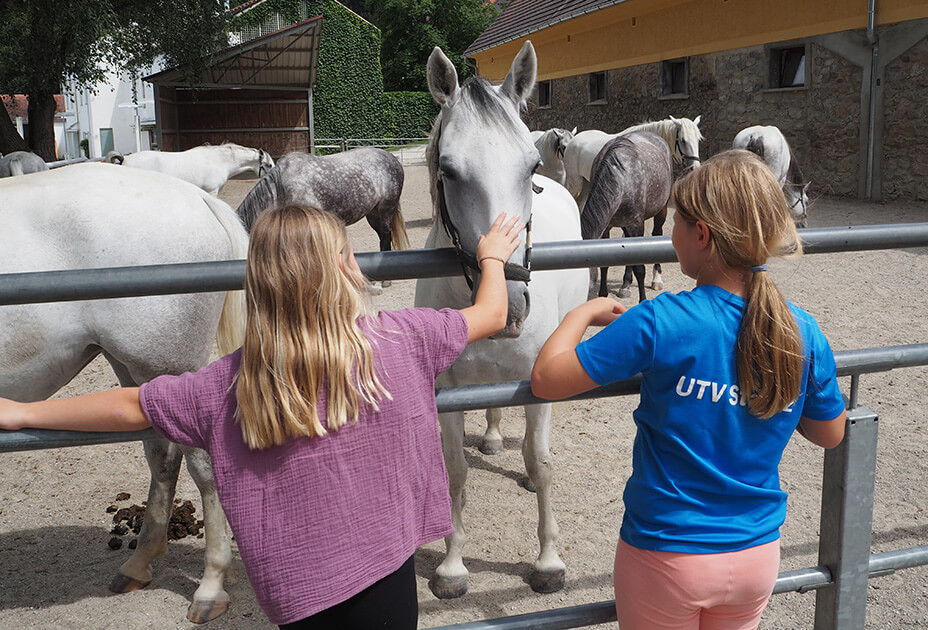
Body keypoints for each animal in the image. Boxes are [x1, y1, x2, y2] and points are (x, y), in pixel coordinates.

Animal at [0, 162, 248, 624]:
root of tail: (194, 196)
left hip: (165, 364)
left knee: (201, 464)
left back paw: (210, 586)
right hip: (133, 369)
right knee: (162, 455)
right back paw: (139, 563)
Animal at [416, 43, 588, 604]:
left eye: (529, 164)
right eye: (448, 170)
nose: (510, 307)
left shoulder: (536, 387)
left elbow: (542, 461)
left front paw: (549, 562)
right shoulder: (446, 391)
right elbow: (454, 470)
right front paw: (451, 567)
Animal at [560, 115, 704, 211]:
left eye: (698, 139)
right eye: (683, 140)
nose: (695, 167)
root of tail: (573, 140)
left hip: (586, 181)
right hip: (575, 181)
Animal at [584, 130, 672, 302]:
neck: (622, 179)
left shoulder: (636, 224)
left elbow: (639, 268)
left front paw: (643, 300)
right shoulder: (607, 227)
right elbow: (604, 264)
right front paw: (603, 296)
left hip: (661, 209)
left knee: (657, 233)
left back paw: (656, 279)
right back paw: (625, 285)